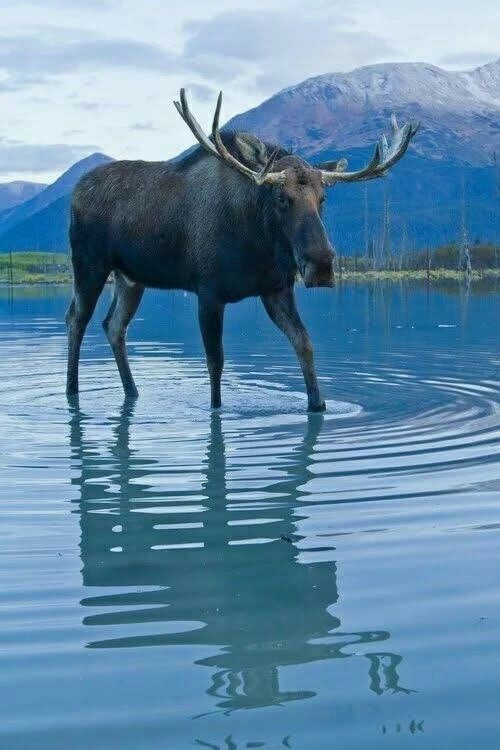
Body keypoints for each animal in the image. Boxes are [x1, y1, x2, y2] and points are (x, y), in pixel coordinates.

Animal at [66, 92, 418, 418]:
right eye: (281, 197)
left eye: (323, 198)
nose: (321, 264)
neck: (257, 244)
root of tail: (75, 191)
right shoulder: (208, 293)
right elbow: (215, 363)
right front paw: (216, 409)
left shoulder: (277, 290)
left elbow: (304, 345)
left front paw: (318, 405)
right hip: (89, 265)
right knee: (76, 320)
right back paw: (72, 392)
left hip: (130, 278)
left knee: (114, 326)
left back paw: (132, 393)